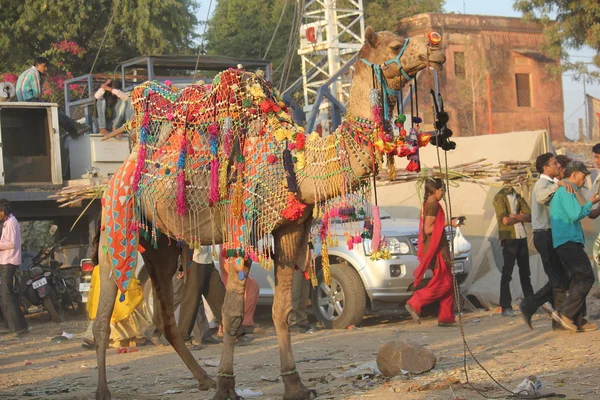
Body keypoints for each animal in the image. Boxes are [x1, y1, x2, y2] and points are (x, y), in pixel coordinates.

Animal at [91, 26, 442, 398]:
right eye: (395, 44)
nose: (435, 45)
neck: (298, 163)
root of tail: (117, 174)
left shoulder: (290, 230)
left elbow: (282, 310)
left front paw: (294, 384)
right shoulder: (240, 229)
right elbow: (231, 315)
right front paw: (226, 387)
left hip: (162, 244)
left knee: (165, 317)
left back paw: (202, 378)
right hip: (117, 223)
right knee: (104, 313)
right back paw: (105, 390)